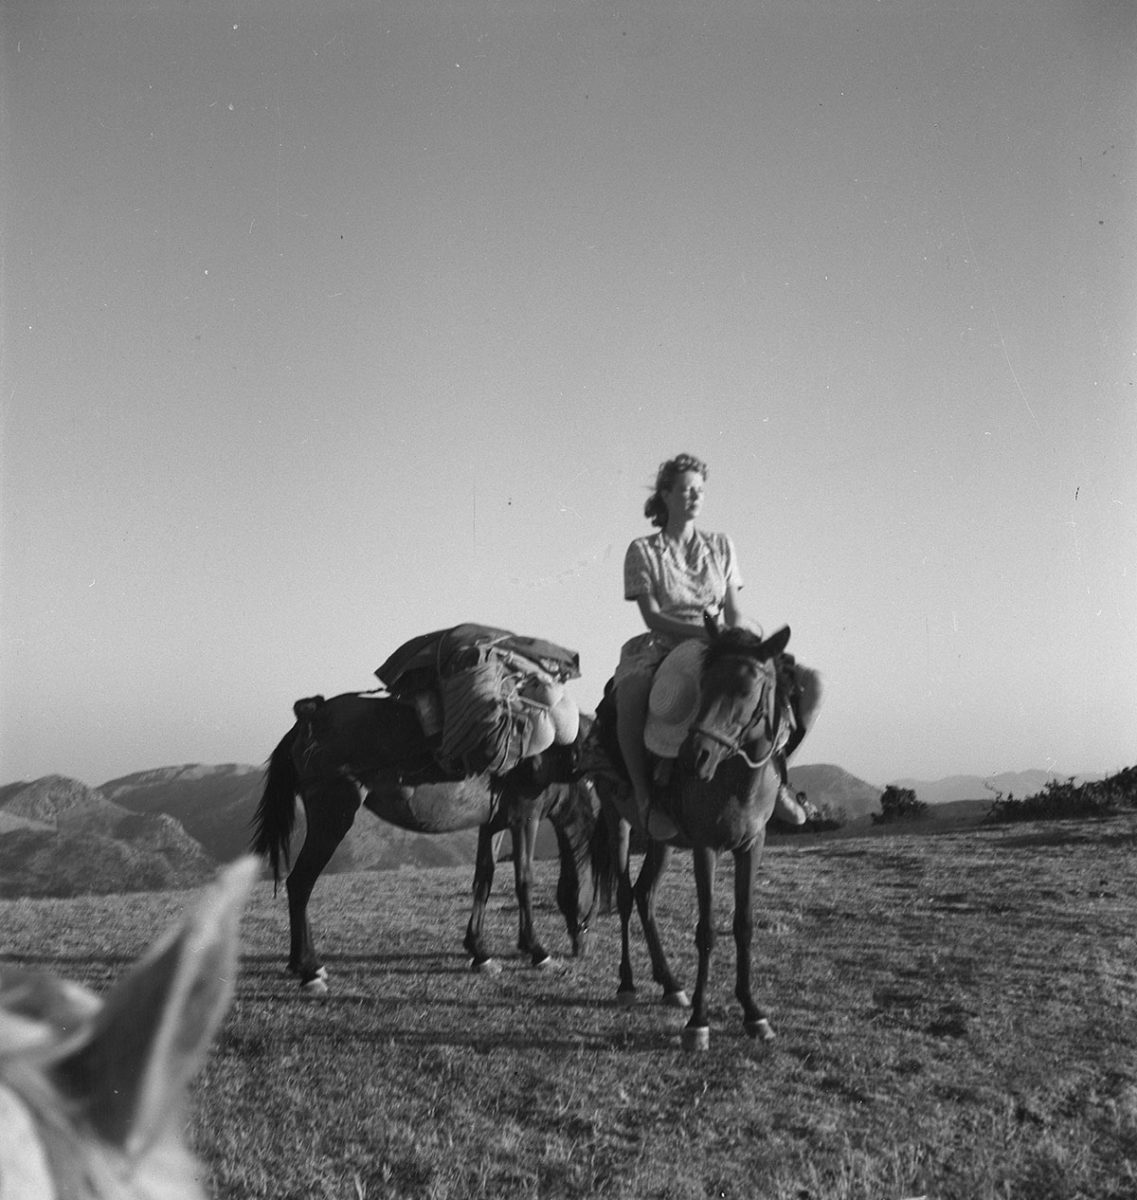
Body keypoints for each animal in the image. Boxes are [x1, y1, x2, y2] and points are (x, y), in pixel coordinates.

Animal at [585, 619, 805, 1051]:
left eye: (746, 688)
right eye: (702, 685)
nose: (693, 756)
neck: (735, 780)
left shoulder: (751, 847)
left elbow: (743, 925)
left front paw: (753, 1013)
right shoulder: (707, 847)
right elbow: (706, 931)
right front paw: (698, 1024)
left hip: (662, 840)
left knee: (645, 895)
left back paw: (670, 984)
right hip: (618, 822)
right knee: (624, 895)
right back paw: (627, 984)